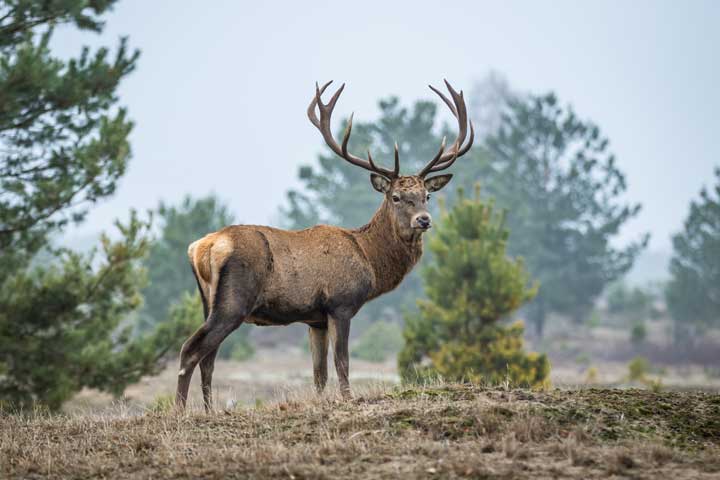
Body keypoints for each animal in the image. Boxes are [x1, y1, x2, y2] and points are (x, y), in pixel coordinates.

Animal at [178, 79, 476, 408]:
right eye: (397, 197)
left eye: (427, 195)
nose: (423, 220)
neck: (370, 258)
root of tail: (202, 247)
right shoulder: (340, 303)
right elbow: (342, 362)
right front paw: (348, 398)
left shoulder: (315, 319)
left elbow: (319, 372)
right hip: (234, 301)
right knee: (191, 349)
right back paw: (181, 410)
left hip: (208, 301)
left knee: (208, 357)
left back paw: (209, 410)